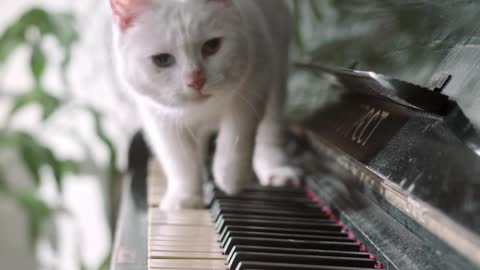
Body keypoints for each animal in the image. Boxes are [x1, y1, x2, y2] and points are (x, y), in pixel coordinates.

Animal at [110, 0, 302, 209]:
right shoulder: (158, 117)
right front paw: (185, 197)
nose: (196, 80)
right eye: (162, 60)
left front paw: (231, 178)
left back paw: (276, 170)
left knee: (270, 129)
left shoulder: (255, 82)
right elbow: (180, 159)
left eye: (212, 46)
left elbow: (237, 134)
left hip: (278, 68)